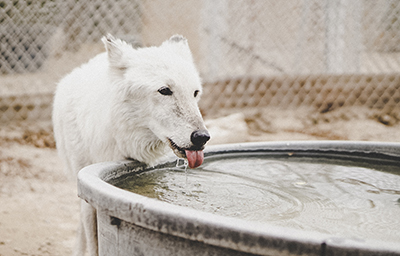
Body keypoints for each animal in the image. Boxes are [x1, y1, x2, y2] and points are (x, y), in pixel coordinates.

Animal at [51, 34, 211, 256]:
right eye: (165, 90)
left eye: (195, 93)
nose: (202, 137)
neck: (125, 144)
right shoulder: (88, 192)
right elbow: (93, 243)